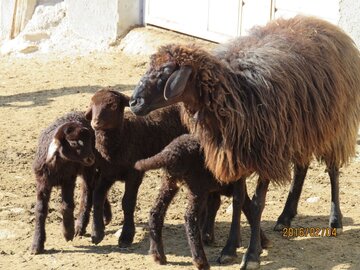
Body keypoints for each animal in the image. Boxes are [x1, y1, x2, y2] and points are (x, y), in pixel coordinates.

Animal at [129, 15, 360, 268]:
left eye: (166, 71)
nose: (134, 102)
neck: (236, 93)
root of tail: (326, 25)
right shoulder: (236, 152)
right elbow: (239, 199)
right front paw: (230, 248)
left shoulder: (267, 153)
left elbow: (258, 204)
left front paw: (251, 255)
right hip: (302, 130)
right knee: (301, 168)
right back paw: (285, 216)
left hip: (335, 126)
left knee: (332, 170)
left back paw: (335, 219)